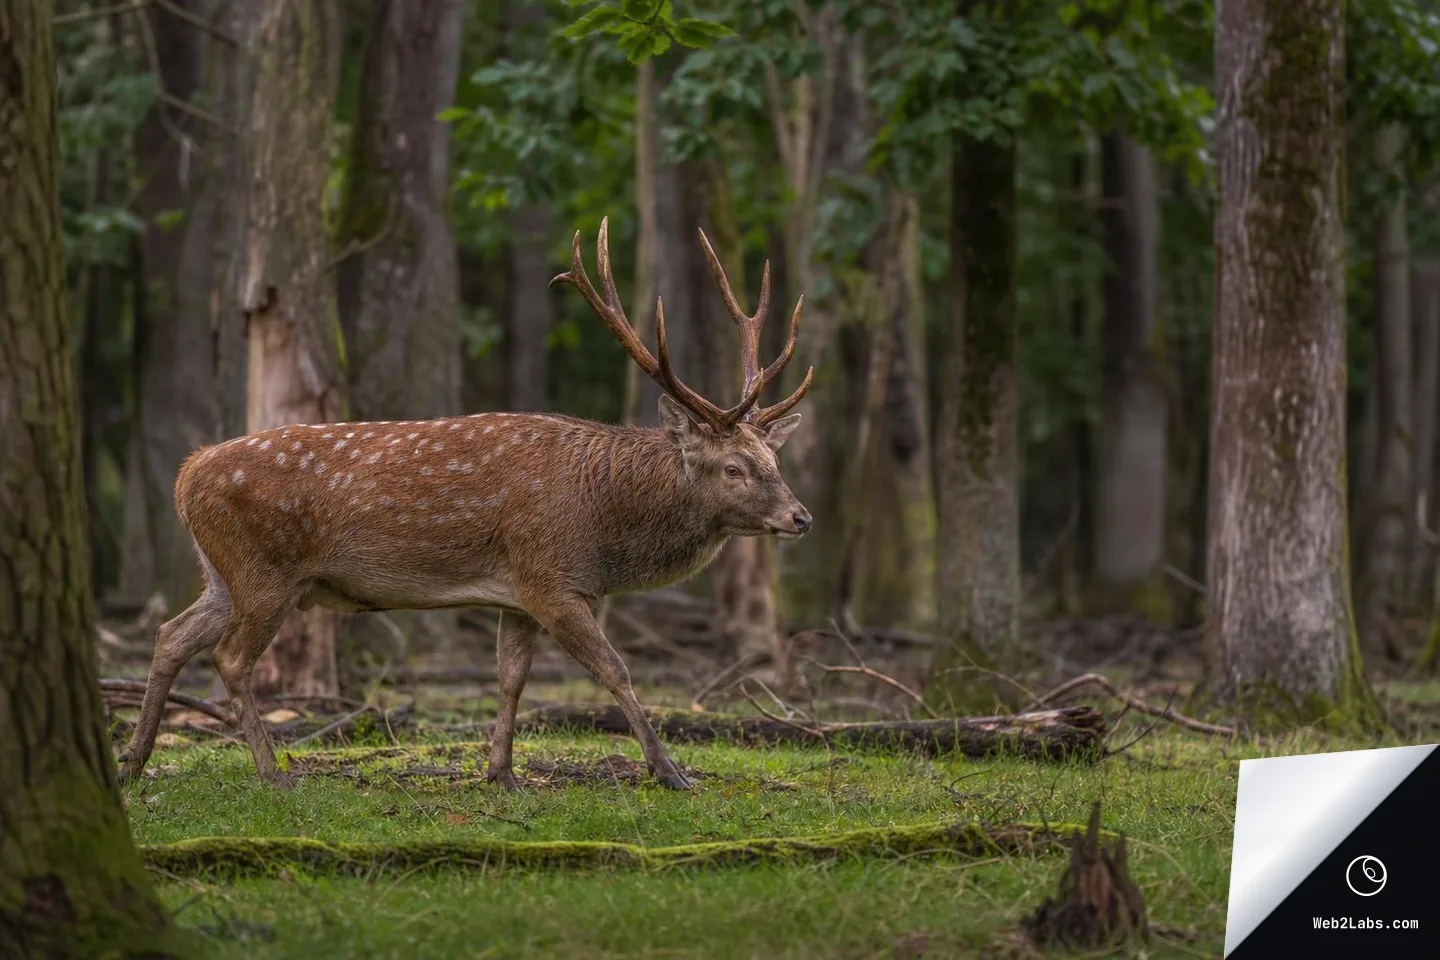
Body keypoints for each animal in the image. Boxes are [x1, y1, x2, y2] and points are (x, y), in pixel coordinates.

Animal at [116, 217, 813, 791]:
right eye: (733, 467)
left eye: (775, 461)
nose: (800, 517)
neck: (604, 525)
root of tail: (188, 474)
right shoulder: (553, 576)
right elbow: (616, 670)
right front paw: (671, 773)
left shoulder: (519, 592)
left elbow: (510, 678)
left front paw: (500, 772)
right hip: (264, 571)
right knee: (229, 657)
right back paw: (273, 773)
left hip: (223, 574)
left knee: (170, 635)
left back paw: (135, 760)